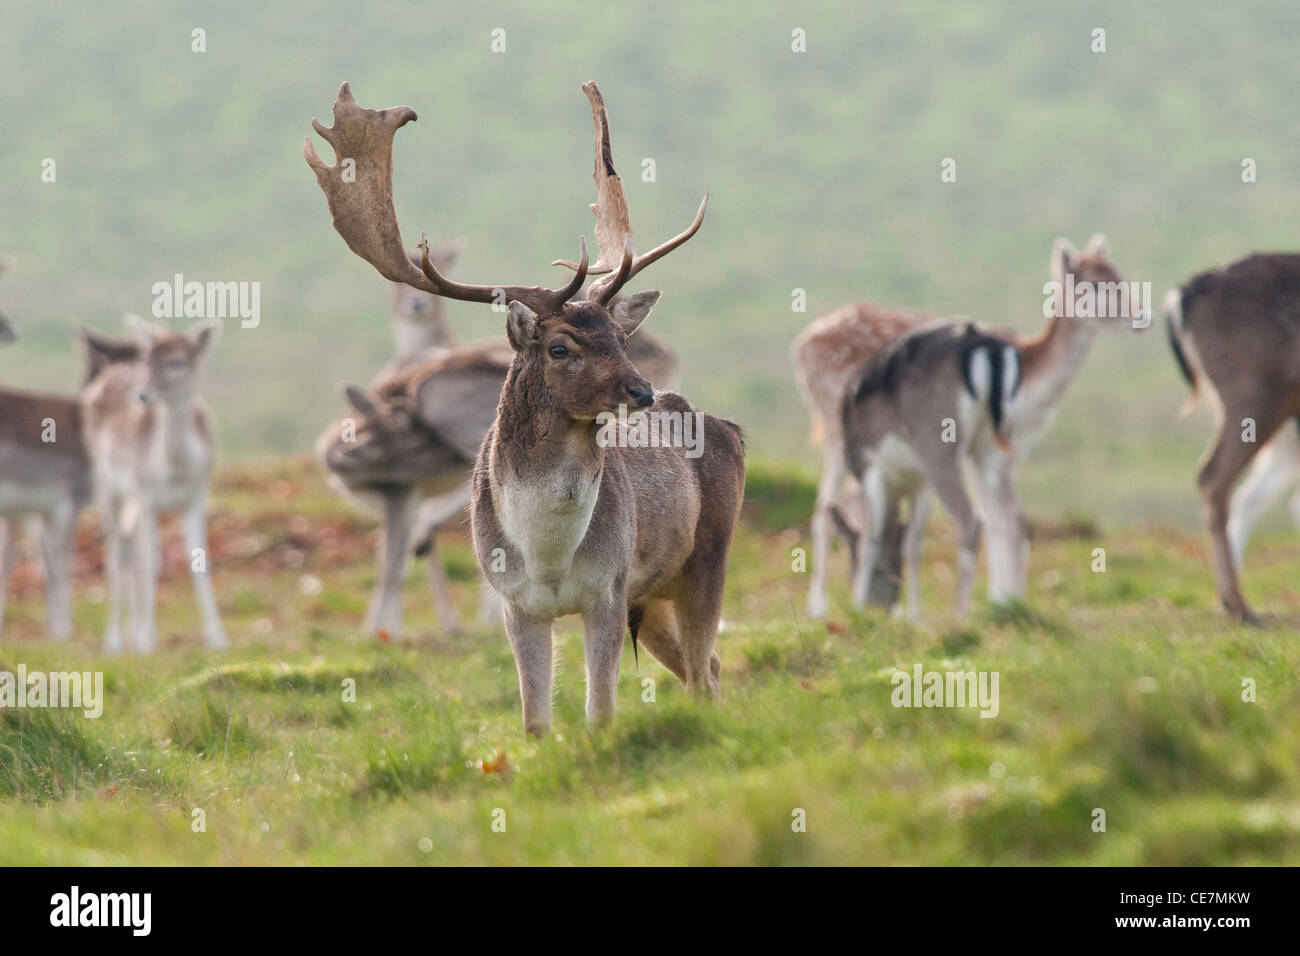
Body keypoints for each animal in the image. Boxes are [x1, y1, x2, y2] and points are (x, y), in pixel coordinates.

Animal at [80, 314, 226, 650]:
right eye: (147, 360)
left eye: (176, 362)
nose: (143, 395)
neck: (175, 469)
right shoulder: (145, 494)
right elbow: (152, 563)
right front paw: (148, 641)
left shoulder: (198, 493)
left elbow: (200, 559)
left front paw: (218, 639)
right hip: (107, 484)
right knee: (117, 549)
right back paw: (116, 640)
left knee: (129, 545)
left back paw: (131, 632)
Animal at [304, 83, 748, 738]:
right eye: (560, 346)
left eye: (620, 337)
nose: (641, 391)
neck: (547, 557)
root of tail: (732, 429)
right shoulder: (520, 605)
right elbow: (534, 720)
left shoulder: (608, 590)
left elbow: (600, 712)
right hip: (654, 593)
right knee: (709, 667)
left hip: (705, 558)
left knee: (702, 671)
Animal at [795, 235, 1144, 616]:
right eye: (1094, 283)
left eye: (1121, 277)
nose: (1142, 316)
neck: (1032, 384)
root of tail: (803, 341)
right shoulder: (996, 450)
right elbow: (999, 518)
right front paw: (1001, 599)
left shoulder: (996, 453)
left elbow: (1004, 519)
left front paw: (1004, 600)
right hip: (836, 429)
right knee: (824, 508)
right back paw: (818, 606)